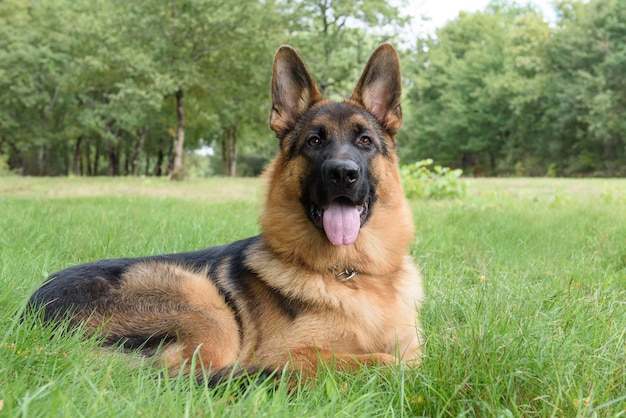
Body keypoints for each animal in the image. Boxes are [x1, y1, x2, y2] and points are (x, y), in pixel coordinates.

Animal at [26, 43, 422, 382]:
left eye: (365, 141)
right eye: (314, 141)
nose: (342, 173)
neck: (351, 273)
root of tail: (29, 316)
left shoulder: (412, 347)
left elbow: (406, 357)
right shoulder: (294, 352)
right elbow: (384, 361)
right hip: (205, 303)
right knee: (180, 374)